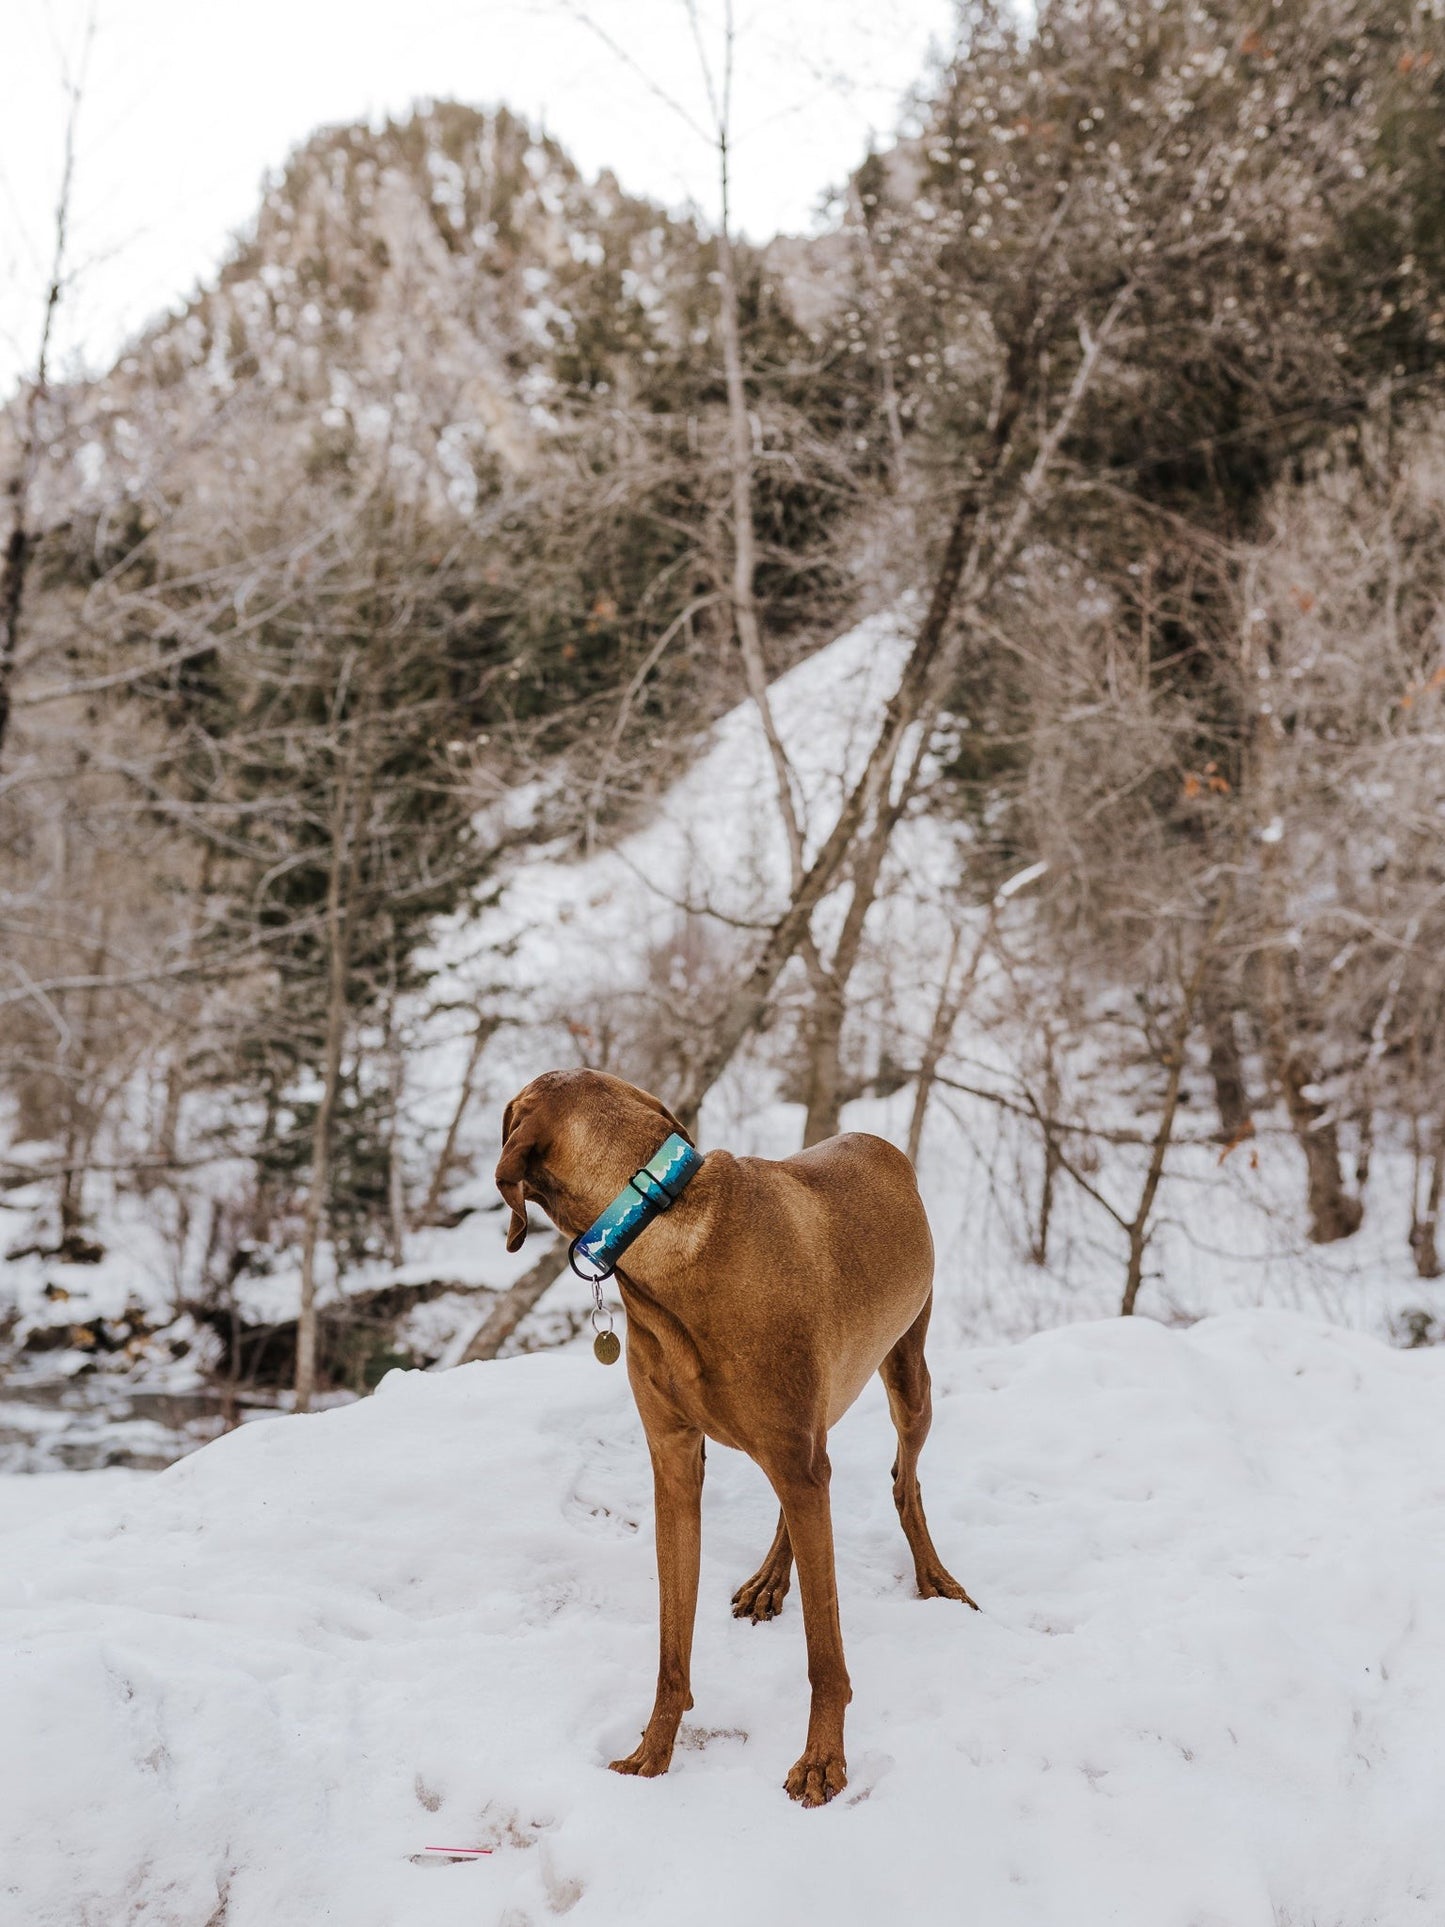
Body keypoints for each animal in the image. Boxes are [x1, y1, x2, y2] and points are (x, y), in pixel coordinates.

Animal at [493, 1071, 978, 1803]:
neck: (657, 1218)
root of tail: (880, 1141)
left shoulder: (798, 1456)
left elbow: (824, 1653)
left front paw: (822, 1760)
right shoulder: (674, 1463)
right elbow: (672, 1644)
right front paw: (652, 1752)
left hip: (906, 1370)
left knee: (903, 1479)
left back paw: (935, 1577)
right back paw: (771, 1580)